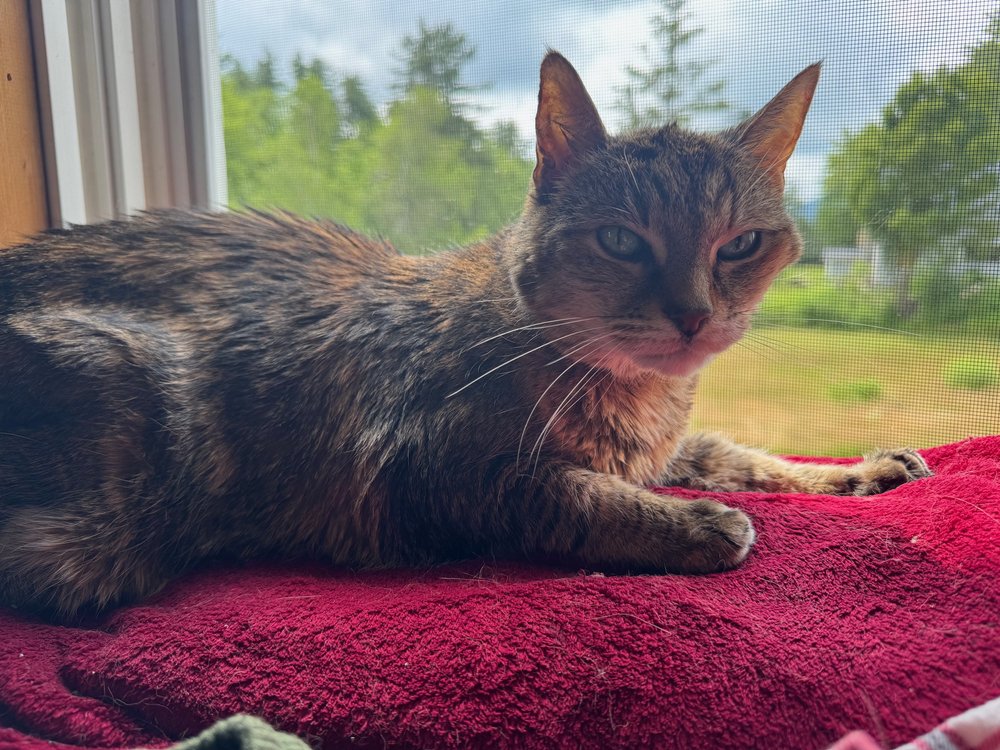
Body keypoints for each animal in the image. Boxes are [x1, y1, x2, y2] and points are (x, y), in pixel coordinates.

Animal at [0, 52, 930, 619]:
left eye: (740, 244)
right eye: (621, 240)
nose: (695, 315)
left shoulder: (664, 444)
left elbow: (741, 454)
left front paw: (856, 470)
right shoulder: (432, 471)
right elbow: (576, 496)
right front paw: (695, 527)